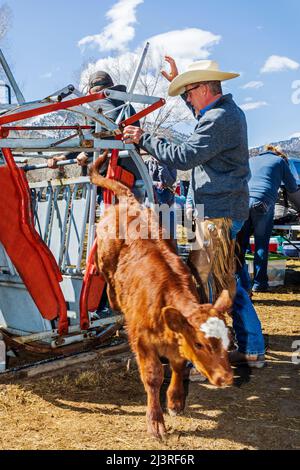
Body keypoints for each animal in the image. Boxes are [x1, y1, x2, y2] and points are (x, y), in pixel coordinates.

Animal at [90, 156, 233, 438]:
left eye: (228, 341)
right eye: (200, 344)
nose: (225, 378)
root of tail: (130, 201)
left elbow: (178, 365)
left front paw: (176, 401)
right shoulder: (141, 340)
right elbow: (153, 375)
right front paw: (155, 421)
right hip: (104, 257)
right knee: (107, 277)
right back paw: (112, 300)